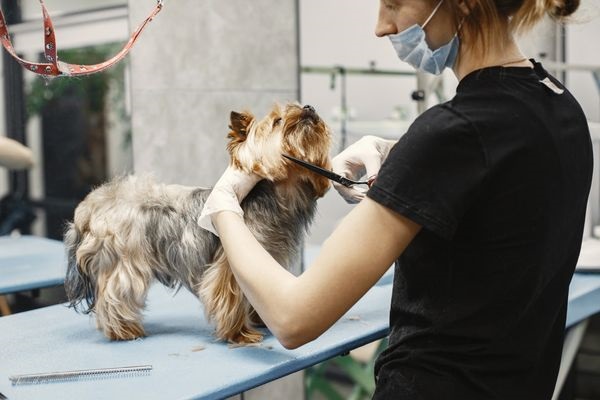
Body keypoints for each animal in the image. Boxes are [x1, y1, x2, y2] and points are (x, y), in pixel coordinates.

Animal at [65, 103, 332, 344]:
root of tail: (90, 205)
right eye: (278, 121)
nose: (309, 107)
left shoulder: (267, 259)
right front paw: (239, 334)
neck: (279, 195)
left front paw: (261, 318)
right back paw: (124, 330)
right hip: (124, 260)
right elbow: (231, 295)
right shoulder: (231, 265)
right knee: (114, 293)